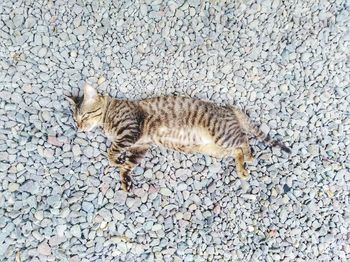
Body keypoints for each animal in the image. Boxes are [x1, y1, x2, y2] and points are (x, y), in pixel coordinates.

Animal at [67, 83, 292, 191]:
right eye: (75, 119)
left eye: (84, 116)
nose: (79, 128)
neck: (108, 115)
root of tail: (229, 107)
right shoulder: (140, 146)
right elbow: (127, 165)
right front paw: (125, 181)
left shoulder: (131, 131)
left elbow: (111, 151)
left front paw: (115, 160)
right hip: (216, 149)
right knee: (237, 149)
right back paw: (241, 167)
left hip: (222, 135)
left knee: (244, 139)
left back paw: (249, 158)